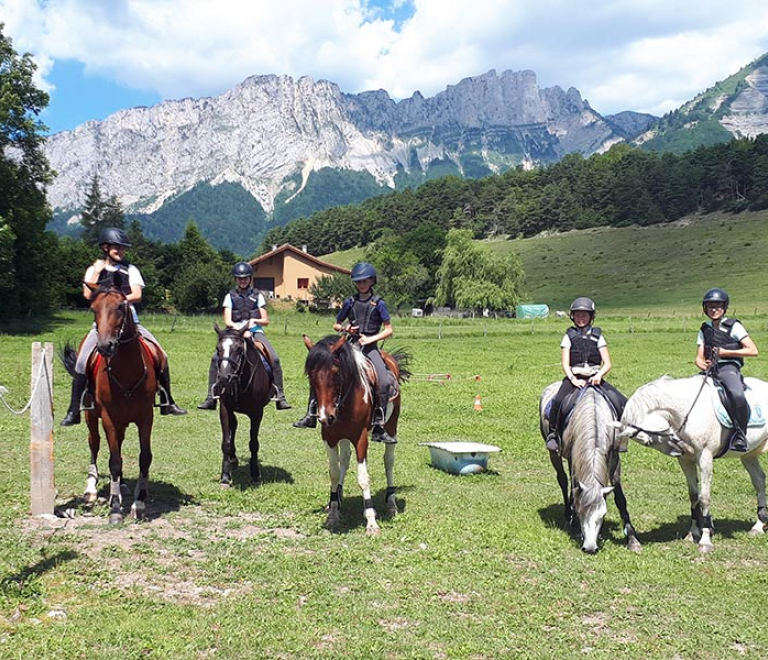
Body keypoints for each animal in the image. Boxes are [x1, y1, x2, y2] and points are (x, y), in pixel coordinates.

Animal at [63, 286, 159, 524]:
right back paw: (91, 489)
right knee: (95, 444)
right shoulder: (108, 418)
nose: (105, 346)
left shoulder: (145, 418)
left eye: (120, 307)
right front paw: (115, 508)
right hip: (92, 418)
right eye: (93, 309)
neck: (127, 371)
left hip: (122, 423)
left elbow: (144, 457)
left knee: (119, 446)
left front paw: (139, 503)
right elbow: (114, 462)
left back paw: (122, 485)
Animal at [214, 324, 272, 484]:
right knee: (233, 426)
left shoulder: (257, 413)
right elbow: (226, 443)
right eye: (217, 349)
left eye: (239, 349)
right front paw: (225, 476)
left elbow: (253, 443)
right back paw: (232, 460)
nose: (224, 378)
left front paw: (255, 474)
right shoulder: (224, 409)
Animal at [302, 336, 412, 536]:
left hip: (392, 427)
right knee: (345, 460)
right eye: (310, 375)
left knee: (389, 461)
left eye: (336, 373)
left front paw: (371, 521)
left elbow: (363, 478)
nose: (325, 416)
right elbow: (334, 472)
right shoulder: (329, 437)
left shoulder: (360, 439)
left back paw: (391, 503)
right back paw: (337, 498)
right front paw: (333, 513)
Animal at [540, 378, 640, 556]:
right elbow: (573, 487)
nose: (590, 547)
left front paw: (632, 539)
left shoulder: (614, 458)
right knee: (563, 480)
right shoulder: (573, 456)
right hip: (554, 453)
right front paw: (574, 523)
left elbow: (619, 497)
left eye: (603, 514)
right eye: (582, 512)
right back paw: (567, 514)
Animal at [616, 376, 768, 552]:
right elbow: (694, 495)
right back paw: (759, 525)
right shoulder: (686, 460)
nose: (678, 449)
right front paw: (693, 533)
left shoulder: (705, 457)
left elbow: (704, 497)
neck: (688, 412)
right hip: (749, 455)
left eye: (649, 441)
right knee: (759, 480)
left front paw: (705, 540)